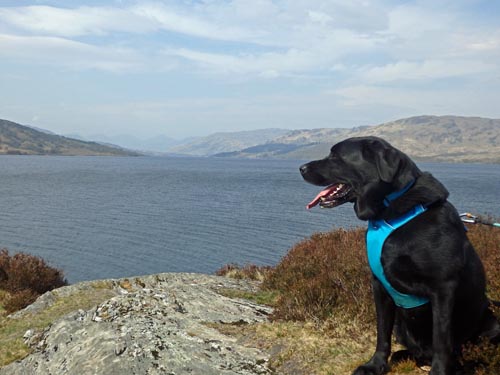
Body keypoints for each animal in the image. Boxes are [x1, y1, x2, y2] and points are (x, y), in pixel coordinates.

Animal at [298, 137, 498, 375]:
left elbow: (441, 339)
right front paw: (375, 365)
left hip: (492, 322)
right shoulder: (379, 286)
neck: (389, 211)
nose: (301, 168)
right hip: (402, 327)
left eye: (336, 156)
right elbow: (382, 332)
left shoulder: (443, 287)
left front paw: (439, 371)